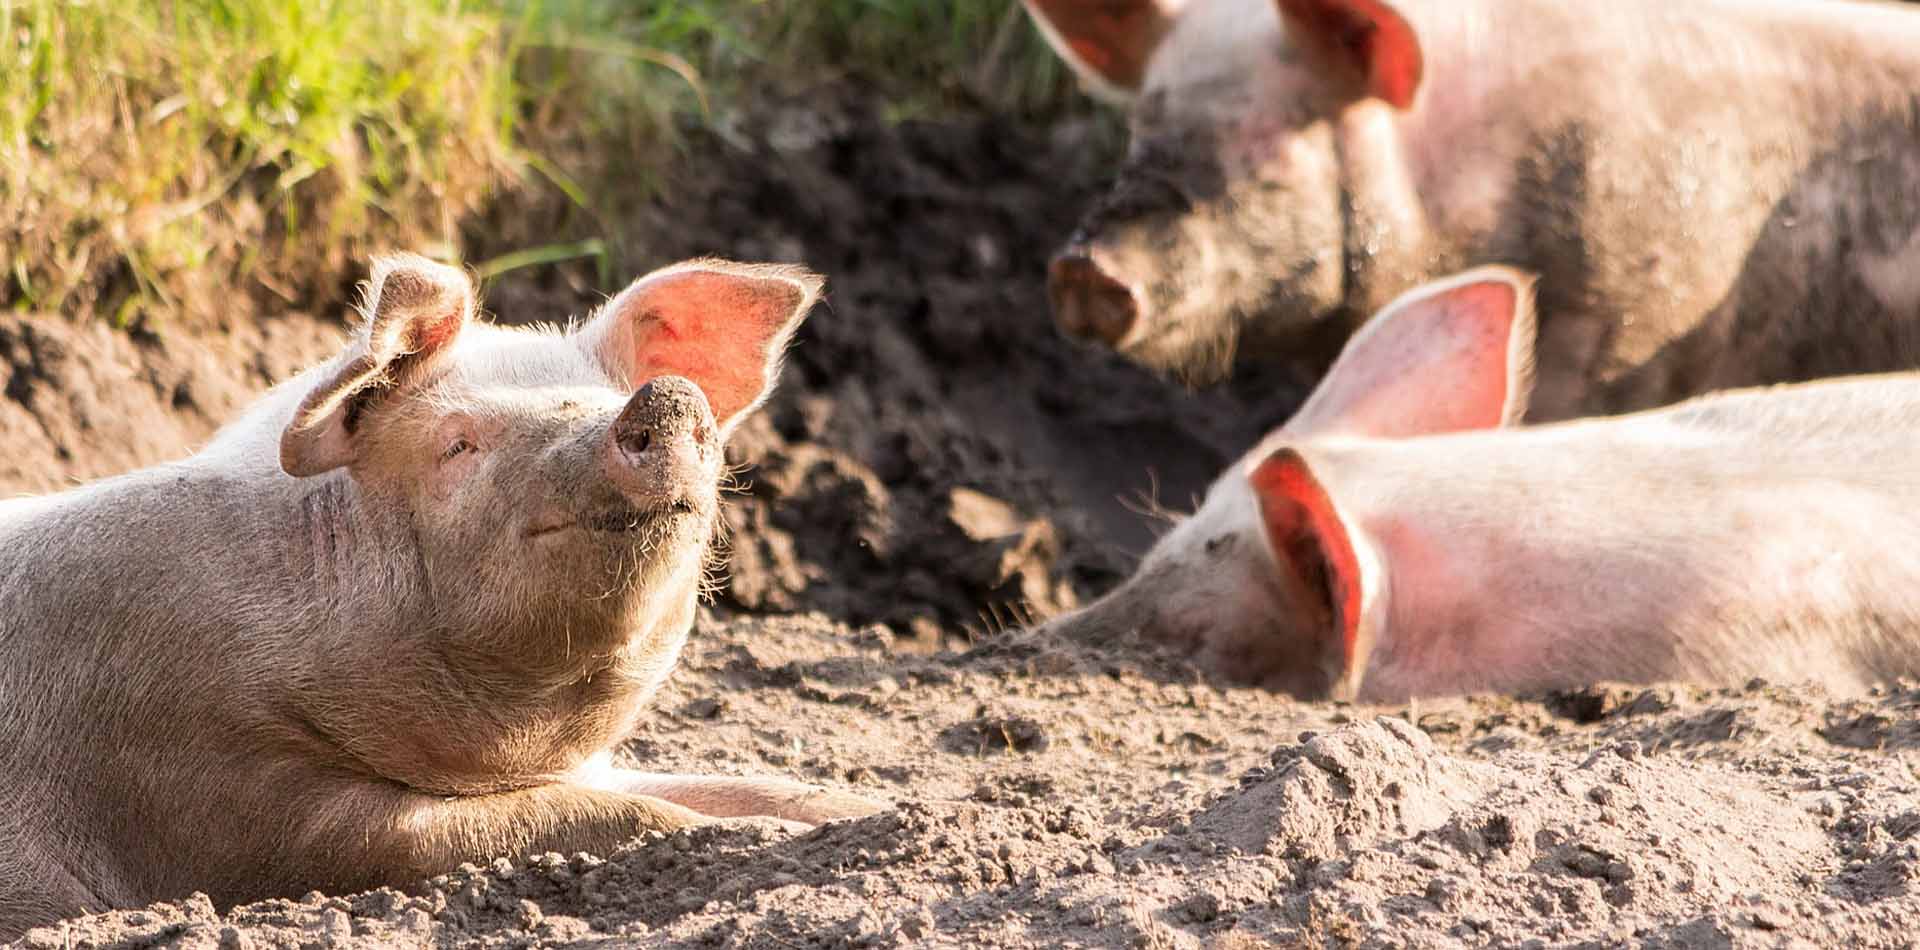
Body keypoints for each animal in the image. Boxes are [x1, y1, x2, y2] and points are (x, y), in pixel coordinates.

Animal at [0, 255, 883, 944]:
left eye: (607, 394)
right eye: (458, 444)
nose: (665, 399)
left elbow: (737, 785)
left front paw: (873, 810)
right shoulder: (215, 791)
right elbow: (572, 819)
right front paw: (760, 835)